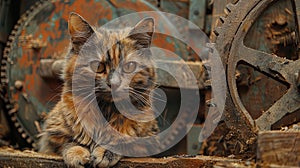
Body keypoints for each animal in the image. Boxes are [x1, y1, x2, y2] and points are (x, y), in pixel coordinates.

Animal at [39, 12, 161, 167]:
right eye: (98, 66)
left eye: (129, 67)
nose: (114, 83)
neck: (106, 109)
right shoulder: (51, 134)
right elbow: (69, 142)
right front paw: (77, 153)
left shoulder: (151, 139)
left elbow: (124, 140)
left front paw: (105, 152)